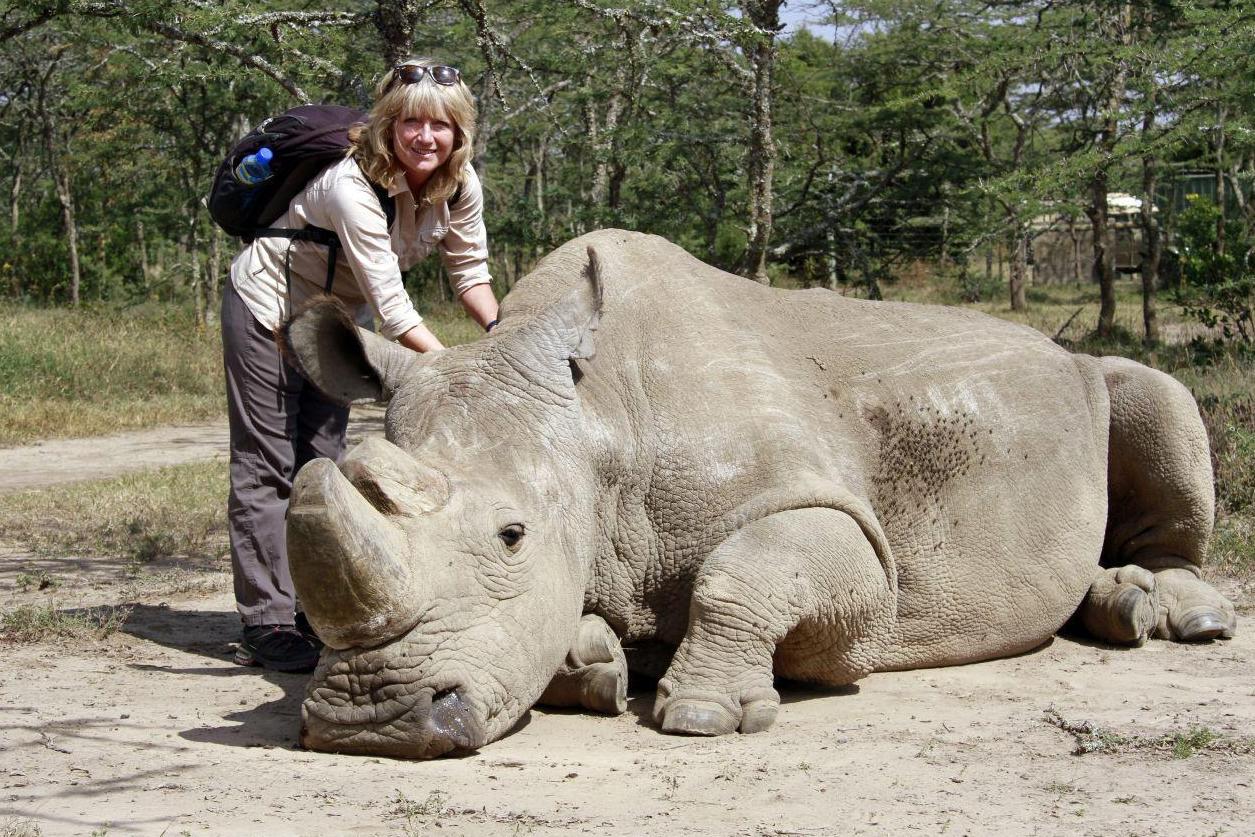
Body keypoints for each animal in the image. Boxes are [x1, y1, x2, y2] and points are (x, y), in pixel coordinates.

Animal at [282, 229, 1236, 759]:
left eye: (512, 535)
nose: (368, 721)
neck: (596, 425)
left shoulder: (842, 524)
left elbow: (750, 568)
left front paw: (704, 712)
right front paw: (595, 662)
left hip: (1093, 375)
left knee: (1153, 392)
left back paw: (1183, 617)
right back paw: (1121, 608)